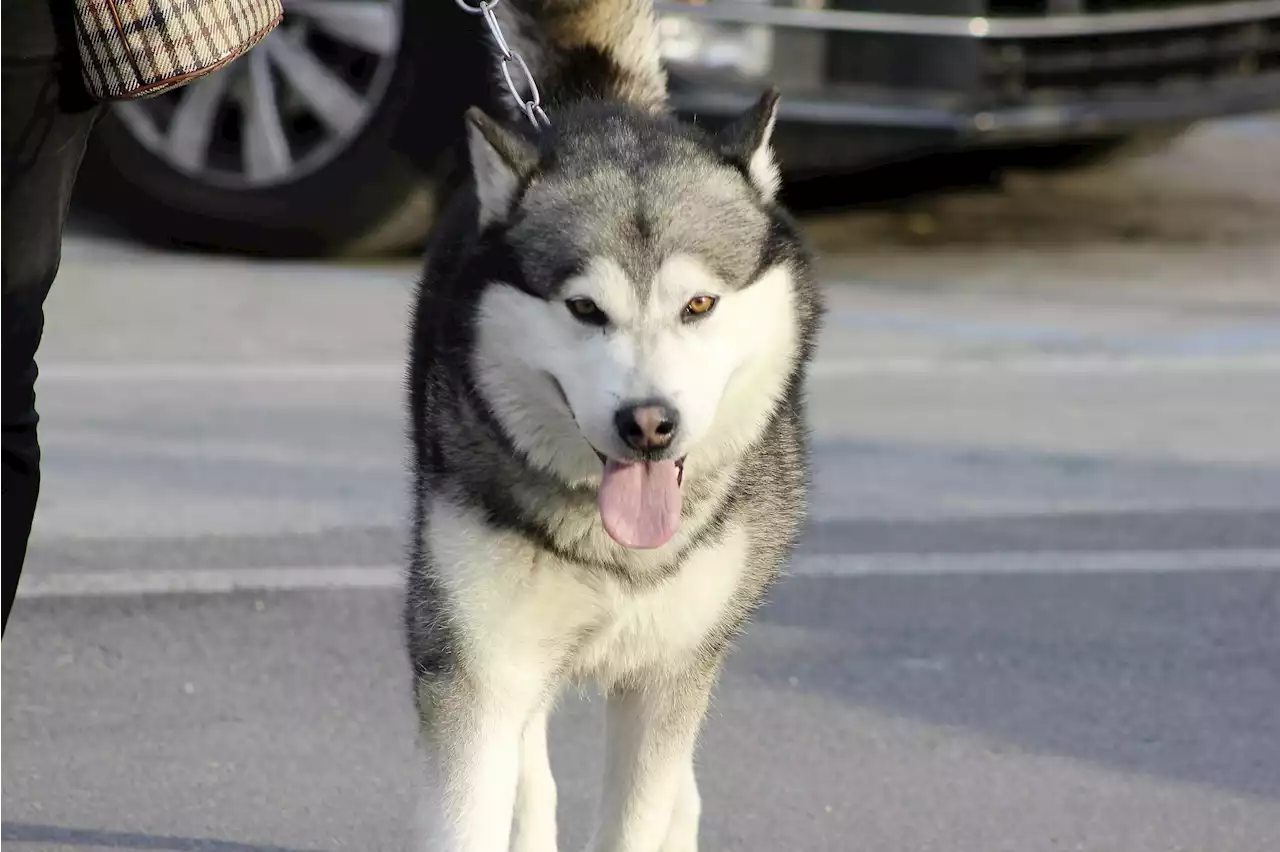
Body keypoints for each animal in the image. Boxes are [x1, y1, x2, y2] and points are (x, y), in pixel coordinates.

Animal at [401, 3, 819, 844]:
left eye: (699, 304)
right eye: (586, 309)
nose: (649, 424)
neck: (614, 547)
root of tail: (597, 104)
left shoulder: (667, 678)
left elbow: (640, 814)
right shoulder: (475, 667)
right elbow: (475, 806)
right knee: (530, 768)